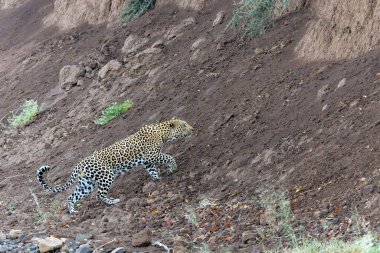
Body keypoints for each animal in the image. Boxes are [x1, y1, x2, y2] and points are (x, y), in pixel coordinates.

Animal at [36, 118, 193, 213]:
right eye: (184, 125)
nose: (192, 129)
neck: (162, 133)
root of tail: (79, 164)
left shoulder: (147, 161)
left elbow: (153, 170)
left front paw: (157, 179)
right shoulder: (151, 155)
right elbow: (168, 157)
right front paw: (173, 168)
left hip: (86, 183)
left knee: (72, 196)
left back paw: (72, 211)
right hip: (106, 176)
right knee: (99, 195)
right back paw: (113, 202)